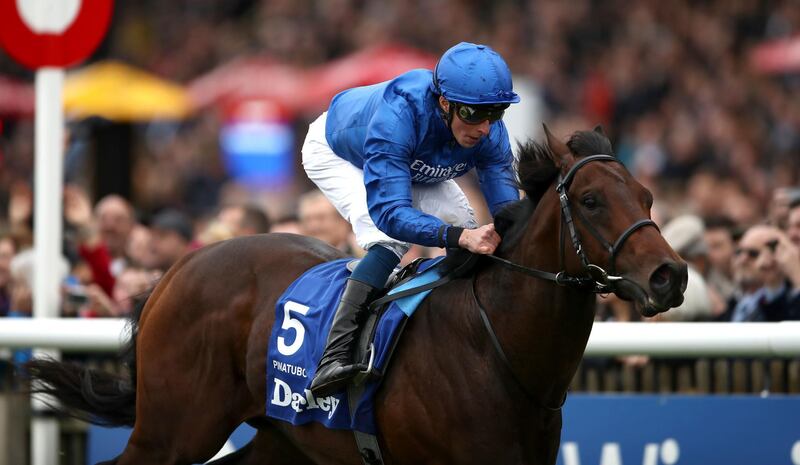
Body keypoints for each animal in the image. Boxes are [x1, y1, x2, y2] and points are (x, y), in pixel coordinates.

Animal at [28, 125, 684, 462]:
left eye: (648, 196)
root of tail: (177, 268)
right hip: (173, 430)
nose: (669, 275)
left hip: (282, 441)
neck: (495, 348)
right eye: (592, 200)